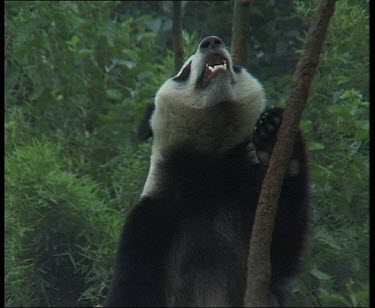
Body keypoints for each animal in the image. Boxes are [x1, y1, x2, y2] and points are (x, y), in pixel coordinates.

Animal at [105, 35, 308, 306]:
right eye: (184, 70)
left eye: (238, 66)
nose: (211, 41)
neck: (209, 173)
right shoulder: (152, 218)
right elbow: (132, 287)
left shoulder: (248, 196)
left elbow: (281, 252)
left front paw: (271, 135)